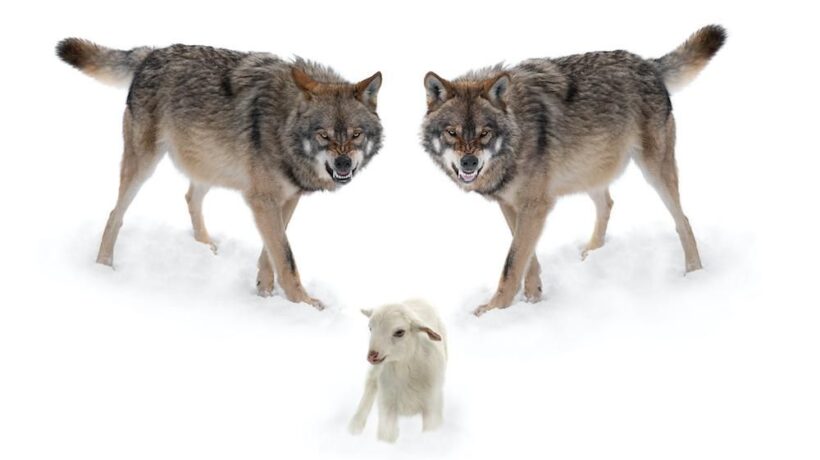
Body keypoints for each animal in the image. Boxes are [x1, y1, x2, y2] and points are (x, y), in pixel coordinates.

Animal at [57, 38, 383, 309]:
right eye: (324, 135)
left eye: (356, 134)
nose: (343, 165)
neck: (283, 125)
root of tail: (152, 53)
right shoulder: (262, 200)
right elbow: (286, 258)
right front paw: (303, 304)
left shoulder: (287, 199)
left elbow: (271, 253)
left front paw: (265, 293)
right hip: (145, 165)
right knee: (116, 214)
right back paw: (104, 266)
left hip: (209, 163)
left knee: (190, 196)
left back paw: (205, 246)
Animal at [420, 25, 726, 316]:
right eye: (452, 132)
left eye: (484, 133)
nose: (468, 163)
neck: (518, 133)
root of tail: (648, 63)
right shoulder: (511, 206)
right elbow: (527, 258)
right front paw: (533, 298)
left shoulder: (535, 205)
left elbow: (512, 263)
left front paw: (494, 310)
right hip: (589, 170)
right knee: (608, 203)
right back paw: (592, 252)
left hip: (653, 171)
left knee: (682, 220)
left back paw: (694, 272)